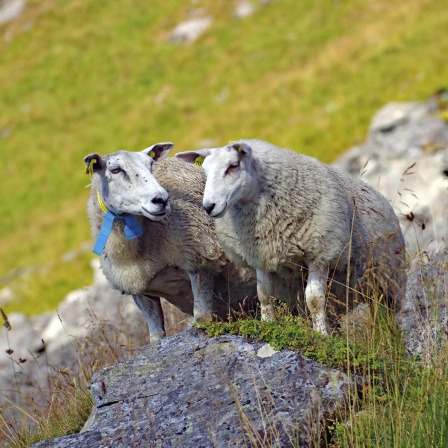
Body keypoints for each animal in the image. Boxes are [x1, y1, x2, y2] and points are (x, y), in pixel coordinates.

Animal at [177, 138, 408, 334]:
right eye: (205, 172)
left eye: (233, 165)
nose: (209, 206)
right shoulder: (260, 255)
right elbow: (264, 294)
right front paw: (268, 324)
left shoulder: (320, 253)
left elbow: (314, 300)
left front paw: (321, 335)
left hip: (388, 281)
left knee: (386, 317)